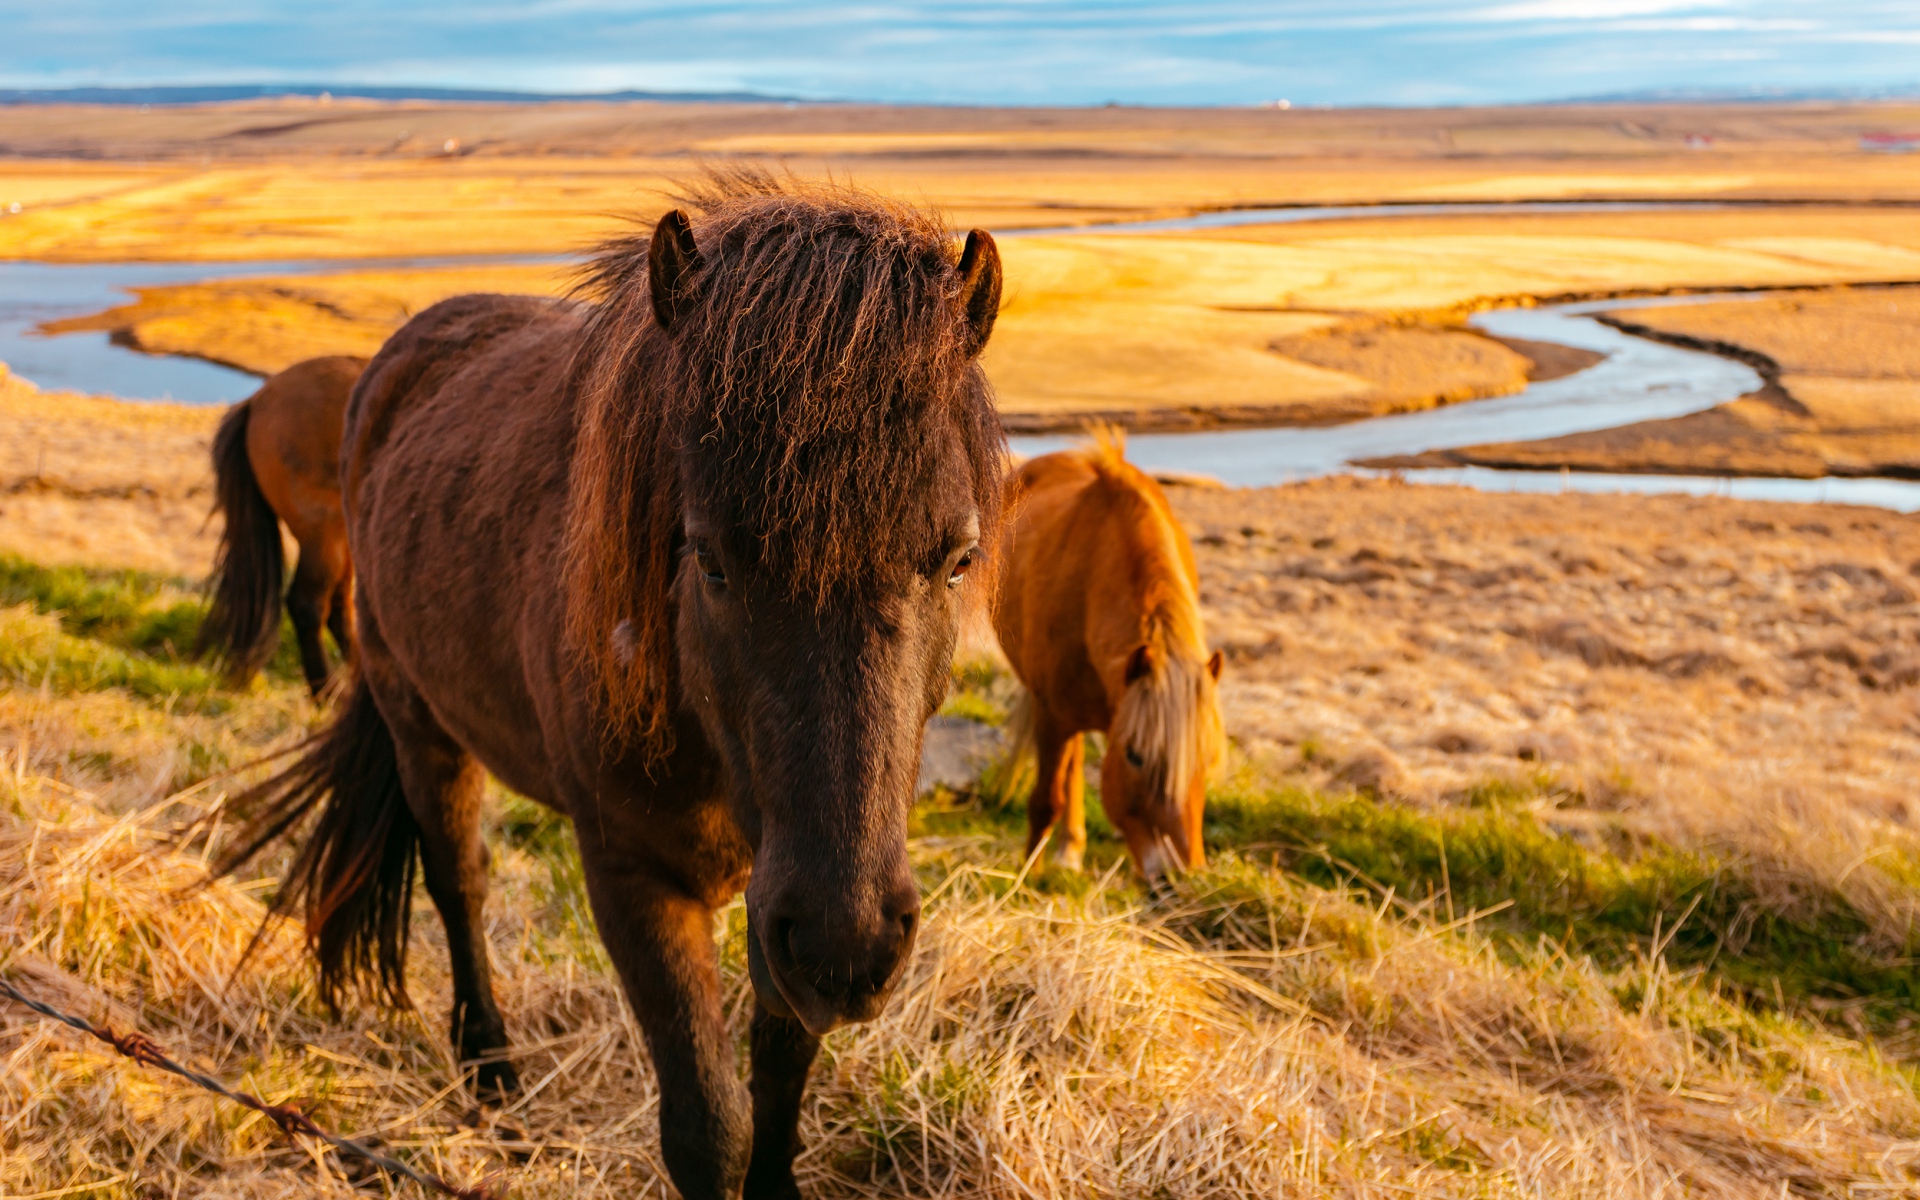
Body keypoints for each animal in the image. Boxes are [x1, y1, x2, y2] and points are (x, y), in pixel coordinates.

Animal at [217, 175, 1006, 1198]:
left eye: (957, 557)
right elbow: (707, 1127)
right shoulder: (638, 879)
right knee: (458, 882)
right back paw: (489, 1064)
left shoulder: (782, 900)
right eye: (708, 558)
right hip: (420, 722)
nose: (852, 945)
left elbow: (780, 1073)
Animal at [990, 430, 1228, 879]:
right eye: (1134, 757)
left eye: (1207, 760)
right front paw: (1027, 877)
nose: (1179, 877)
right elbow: (1044, 801)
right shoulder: (1053, 715)